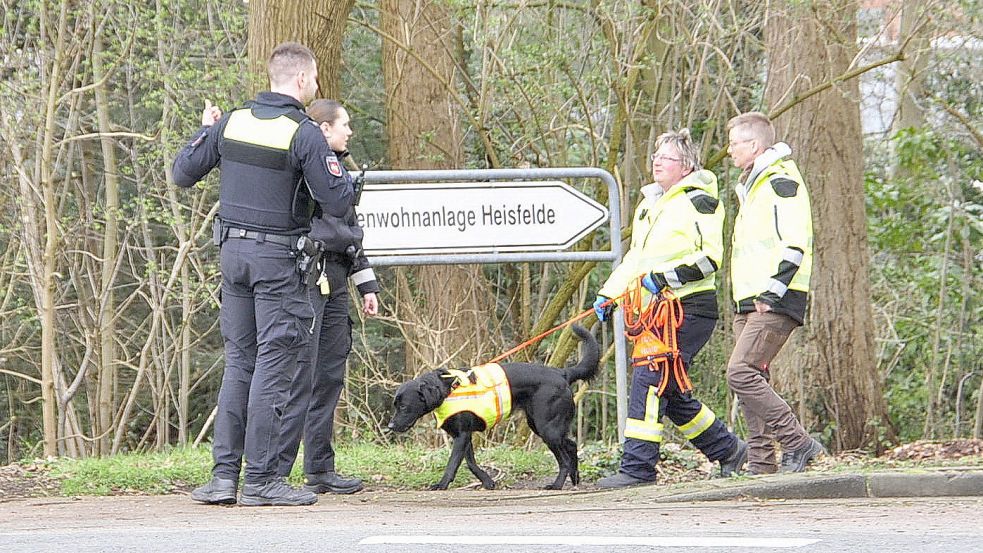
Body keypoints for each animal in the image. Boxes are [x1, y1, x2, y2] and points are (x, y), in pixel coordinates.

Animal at [386, 324, 600, 488]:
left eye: (403, 406)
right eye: (395, 405)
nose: (390, 426)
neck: (447, 389)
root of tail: (562, 373)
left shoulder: (462, 435)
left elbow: (453, 463)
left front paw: (442, 484)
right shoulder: (464, 436)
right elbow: (470, 463)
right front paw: (488, 481)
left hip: (547, 427)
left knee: (564, 459)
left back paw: (556, 485)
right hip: (541, 425)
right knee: (571, 445)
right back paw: (574, 479)